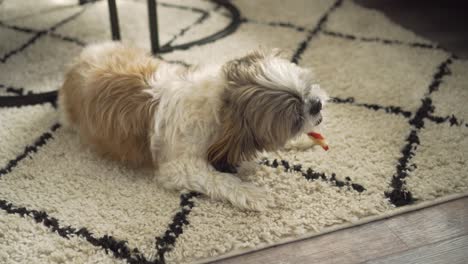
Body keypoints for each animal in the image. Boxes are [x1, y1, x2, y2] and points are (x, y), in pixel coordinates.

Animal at [58, 41, 328, 210]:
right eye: (295, 118)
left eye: (307, 87)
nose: (316, 105)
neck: (219, 104)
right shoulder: (178, 167)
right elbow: (219, 179)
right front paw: (251, 192)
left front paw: (305, 140)